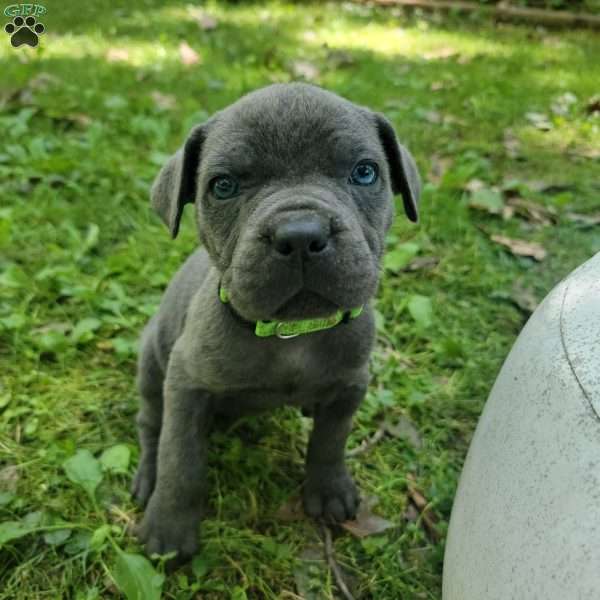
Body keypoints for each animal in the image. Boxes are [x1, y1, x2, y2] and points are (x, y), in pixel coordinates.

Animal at [134, 82, 420, 564]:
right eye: (223, 186)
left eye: (365, 173)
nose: (301, 234)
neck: (292, 334)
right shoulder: (187, 384)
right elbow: (180, 458)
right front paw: (169, 525)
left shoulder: (351, 384)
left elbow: (330, 440)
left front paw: (329, 490)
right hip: (153, 362)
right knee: (152, 424)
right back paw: (147, 476)